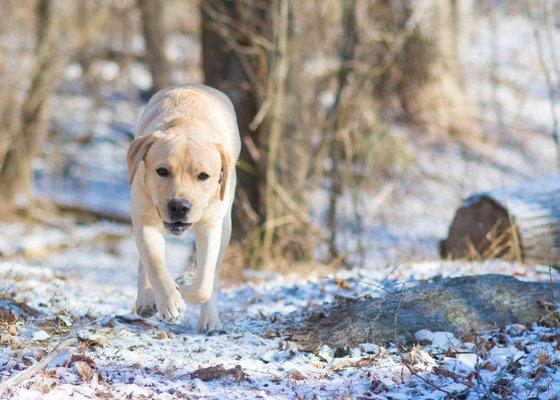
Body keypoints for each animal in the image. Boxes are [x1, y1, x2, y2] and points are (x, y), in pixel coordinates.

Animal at [126, 83, 240, 332]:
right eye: (162, 171)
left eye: (203, 176)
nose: (179, 206)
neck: (186, 122)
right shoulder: (145, 222)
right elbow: (154, 263)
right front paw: (169, 301)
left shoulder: (210, 227)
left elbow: (204, 283)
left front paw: (183, 286)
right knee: (144, 262)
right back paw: (147, 299)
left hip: (226, 224)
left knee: (214, 274)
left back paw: (209, 318)